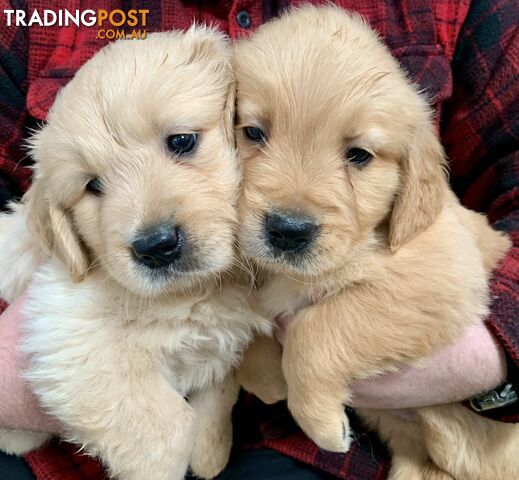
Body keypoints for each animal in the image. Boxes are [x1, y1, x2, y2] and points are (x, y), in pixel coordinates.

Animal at [0, 28, 270, 478]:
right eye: (93, 185)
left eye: (182, 141)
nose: (156, 247)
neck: (196, 291)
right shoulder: (64, 328)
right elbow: (167, 428)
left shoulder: (224, 339)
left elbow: (218, 392)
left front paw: (211, 451)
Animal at [237, 4, 519, 480]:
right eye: (254, 133)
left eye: (359, 156)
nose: (288, 231)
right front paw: (268, 376)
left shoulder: (440, 278)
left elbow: (316, 330)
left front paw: (319, 420)